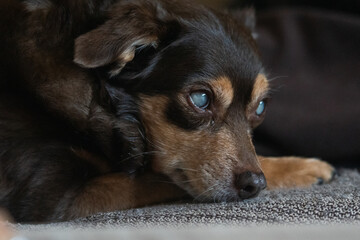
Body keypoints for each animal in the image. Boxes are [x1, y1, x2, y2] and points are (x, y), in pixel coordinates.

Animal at [0, 0, 334, 223]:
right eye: (201, 98)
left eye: (261, 107)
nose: (255, 185)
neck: (103, 97)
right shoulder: (53, 196)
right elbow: (157, 178)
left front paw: (295, 166)